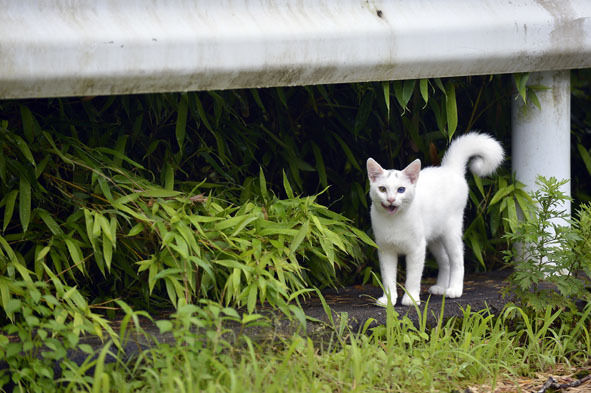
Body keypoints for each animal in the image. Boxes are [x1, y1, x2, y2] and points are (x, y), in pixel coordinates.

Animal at [370, 132, 504, 306]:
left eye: (401, 190)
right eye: (382, 189)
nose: (391, 200)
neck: (394, 220)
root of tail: (450, 169)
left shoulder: (417, 249)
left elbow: (413, 277)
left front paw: (411, 299)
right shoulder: (385, 250)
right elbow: (388, 278)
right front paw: (388, 299)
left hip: (451, 232)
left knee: (457, 260)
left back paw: (454, 289)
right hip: (434, 239)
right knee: (445, 261)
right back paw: (441, 287)